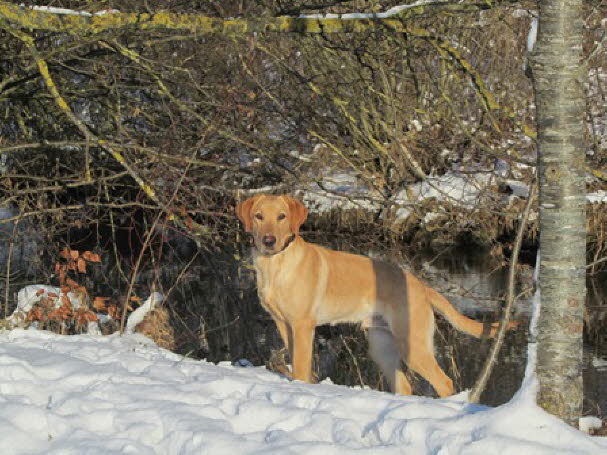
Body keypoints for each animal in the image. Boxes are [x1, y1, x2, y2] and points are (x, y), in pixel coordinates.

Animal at [235, 194, 510, 398]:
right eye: (258, 216)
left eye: (282, 217)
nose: (268, 240)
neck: (275, 266)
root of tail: (421, 286)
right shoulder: (283, 323)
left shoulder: (303, 325)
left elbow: (302, 368)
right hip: (382, 346)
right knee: (405, 386)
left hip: (412, 344)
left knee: (444, 382)